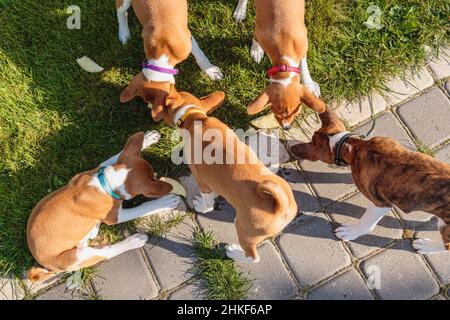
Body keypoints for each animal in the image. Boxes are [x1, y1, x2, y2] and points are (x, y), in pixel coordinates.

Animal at [26, 130, 180, 280]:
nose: (149, 137)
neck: (106, 183)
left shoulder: (99, 167)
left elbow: (117, 155)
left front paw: (148, 138)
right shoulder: (114, 216)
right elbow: (143, 208)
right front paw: (165, 202)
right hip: (77, 256)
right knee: (106, 252)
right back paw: (134, 240)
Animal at [149, 87, 298, 262]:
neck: (196, 118)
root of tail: (279, 208)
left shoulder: (202, 181)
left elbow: (207, 201)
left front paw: (202, 206)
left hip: (244, 231)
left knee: (253, 257)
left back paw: (233, 252)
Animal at [234, 0, 326, 130]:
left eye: (296, 113)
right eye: (275, 113)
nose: (286, 128)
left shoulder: (303, 41)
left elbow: (303, 63)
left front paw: (308, 83)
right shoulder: (259, 30)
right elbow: (256, 39)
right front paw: (256, 50)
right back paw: (240, 11)